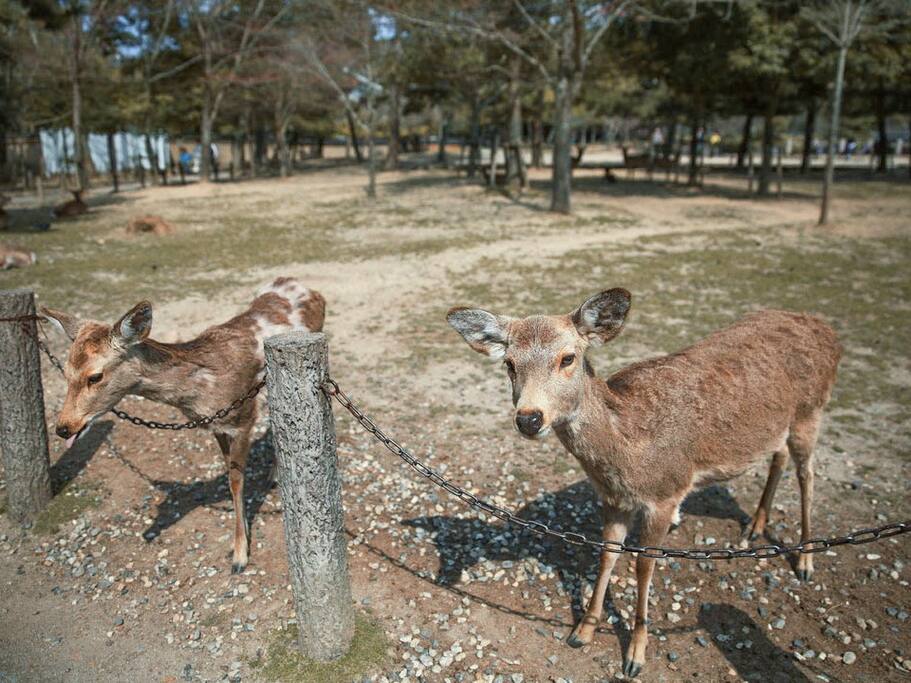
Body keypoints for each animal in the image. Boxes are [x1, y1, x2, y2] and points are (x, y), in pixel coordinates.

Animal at [43, 276, 328, 572]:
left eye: (95, 376)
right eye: (65, 371)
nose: (63, 427)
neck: (202, 393)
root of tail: (299, 283)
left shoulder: (243, 419)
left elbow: (236, 481)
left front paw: (239, 556)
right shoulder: (217, 425)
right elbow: (229, 473)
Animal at [448, 290, 840, 680]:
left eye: (567, 358)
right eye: (510, 364)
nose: (529, 418)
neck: (627, 457)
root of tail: (826, 329)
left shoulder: (666, 493)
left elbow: (644, 565)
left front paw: (635, 654)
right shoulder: (613, 498)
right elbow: (607, 554)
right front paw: (582, 631)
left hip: (812, 410)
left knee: (807, 474)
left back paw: (805, 561)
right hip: (782, 426)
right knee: (779, 456)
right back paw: (755, 527)